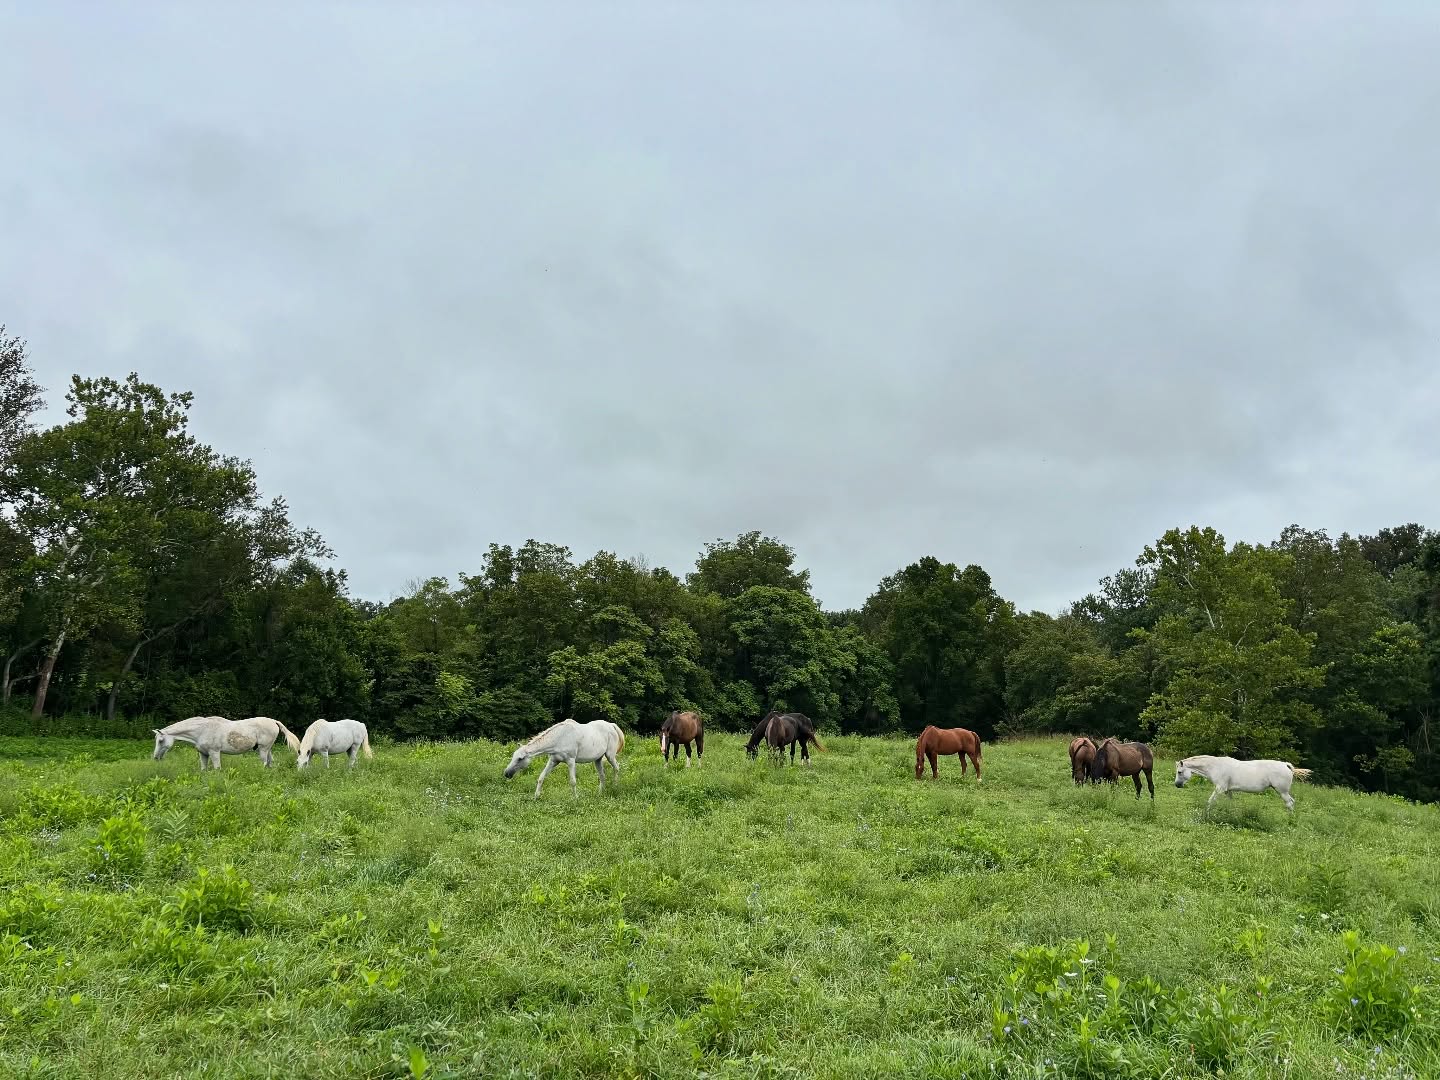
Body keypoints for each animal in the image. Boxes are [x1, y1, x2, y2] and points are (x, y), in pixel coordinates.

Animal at [152, 715, 301, 771]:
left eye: (160, 740)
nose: (155, 757)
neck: (202, 730)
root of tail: (273, 721)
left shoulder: (214, 753)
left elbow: (217, 768)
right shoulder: (203, 754)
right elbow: (203, 769)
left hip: (263, 749)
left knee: (264, 763)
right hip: (268, 749)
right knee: (270, 763)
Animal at [1175, 754, 1313, 813]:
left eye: (1179, 772)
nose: (1177, 785)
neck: (1216, 766)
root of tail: (1285, 765)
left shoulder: (1220, 789)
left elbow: (1210, 801)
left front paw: (1206, 813)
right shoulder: (1227, 791)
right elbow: (1231, 803)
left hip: (1282, 792)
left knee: (1289, 803)